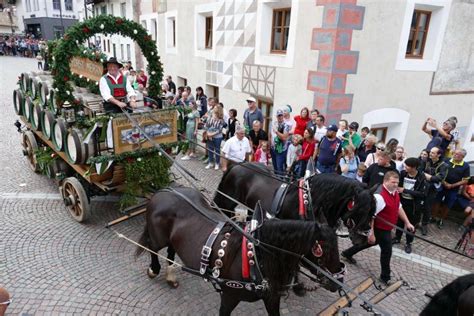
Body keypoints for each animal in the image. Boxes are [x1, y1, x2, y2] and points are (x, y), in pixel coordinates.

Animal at [137, 186, 344, 314]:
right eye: (322, 249)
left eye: (337, 245)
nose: (339, 280)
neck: (257, 256)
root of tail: (164, 191)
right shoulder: (229, 296)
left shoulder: (271, 298)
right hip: (158, 237)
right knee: (153, 248)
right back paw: (154, 269)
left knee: (171, 250)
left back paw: (170, 275)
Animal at [213, 163, 376, 244]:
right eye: (360, 209)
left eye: (372, 212)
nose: (364, 238)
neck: (309, 202)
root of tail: (236, 165)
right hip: (227, 201)